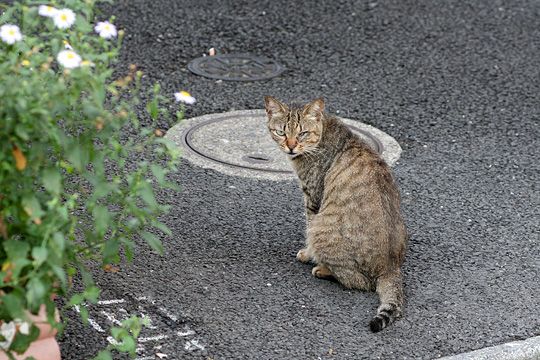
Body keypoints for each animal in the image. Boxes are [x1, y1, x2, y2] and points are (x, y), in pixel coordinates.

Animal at [264, 95, 408, 332]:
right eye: (281, 132)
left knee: (359, 282)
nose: (291, 146)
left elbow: (307, 227)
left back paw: (323, 270)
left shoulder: (313, 198)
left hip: (322, 229)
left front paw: (308, 254)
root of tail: (390, 267)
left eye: (302, 133)